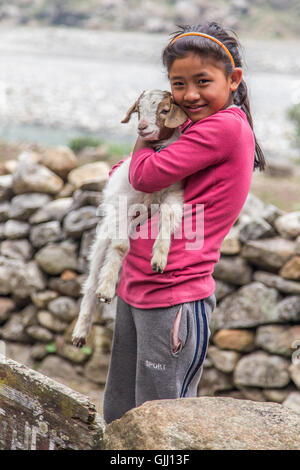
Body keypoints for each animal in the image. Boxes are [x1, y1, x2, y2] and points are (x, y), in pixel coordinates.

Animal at [72, 89, 188, 346]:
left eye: (165, 110)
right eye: (138, 110)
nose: (142, 127)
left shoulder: (173, 195)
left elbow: (169, 217)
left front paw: (159, 259)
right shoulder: (124, 204)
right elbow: (121, 247)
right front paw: (106, 291)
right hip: (102, 238)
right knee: (91, 279)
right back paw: (81, 331)